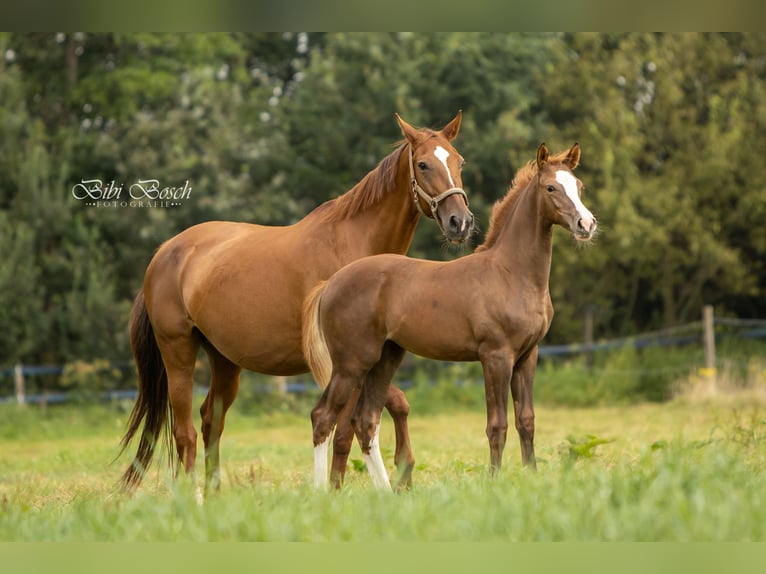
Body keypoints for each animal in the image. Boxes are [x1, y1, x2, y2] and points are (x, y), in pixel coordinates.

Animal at [120, 112, 474, 496]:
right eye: (423, 164)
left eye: (459, 162)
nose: (460, 222)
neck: (353, 247)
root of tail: (164, 253)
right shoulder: (341, 365)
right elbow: (352, 426)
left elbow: (381, 414)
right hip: (179, 355)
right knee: (184, 433)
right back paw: (196, 500)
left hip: (225, 362)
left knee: (211, 421)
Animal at [306, 142, 600, 488]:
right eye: (551, 187)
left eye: (579, 186)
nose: (586, 225)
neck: (510, 272)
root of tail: (329, 284)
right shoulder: (496, 356)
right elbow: (497, 425)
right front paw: (495, 482)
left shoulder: (528, 355)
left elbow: (526, 421)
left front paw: (531, 478)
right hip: (351, 364)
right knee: (323, 417)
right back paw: (322, 491)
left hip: (385, 359)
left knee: (365, 421)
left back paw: (386, 493)